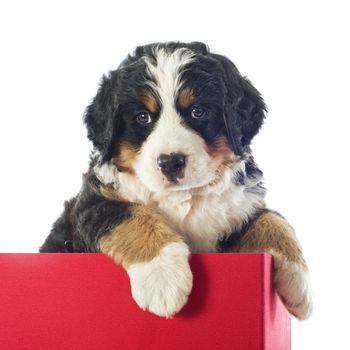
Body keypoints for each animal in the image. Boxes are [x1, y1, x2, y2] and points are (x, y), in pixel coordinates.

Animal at [39, 41, 314, 320]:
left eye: (197, 111)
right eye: (142, 117)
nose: (170, 163)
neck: (184, 196)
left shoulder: (241, 208)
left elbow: (273, 220)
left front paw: (300, 284)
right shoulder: (92, 204)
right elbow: (132, 215)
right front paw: (162, 279)